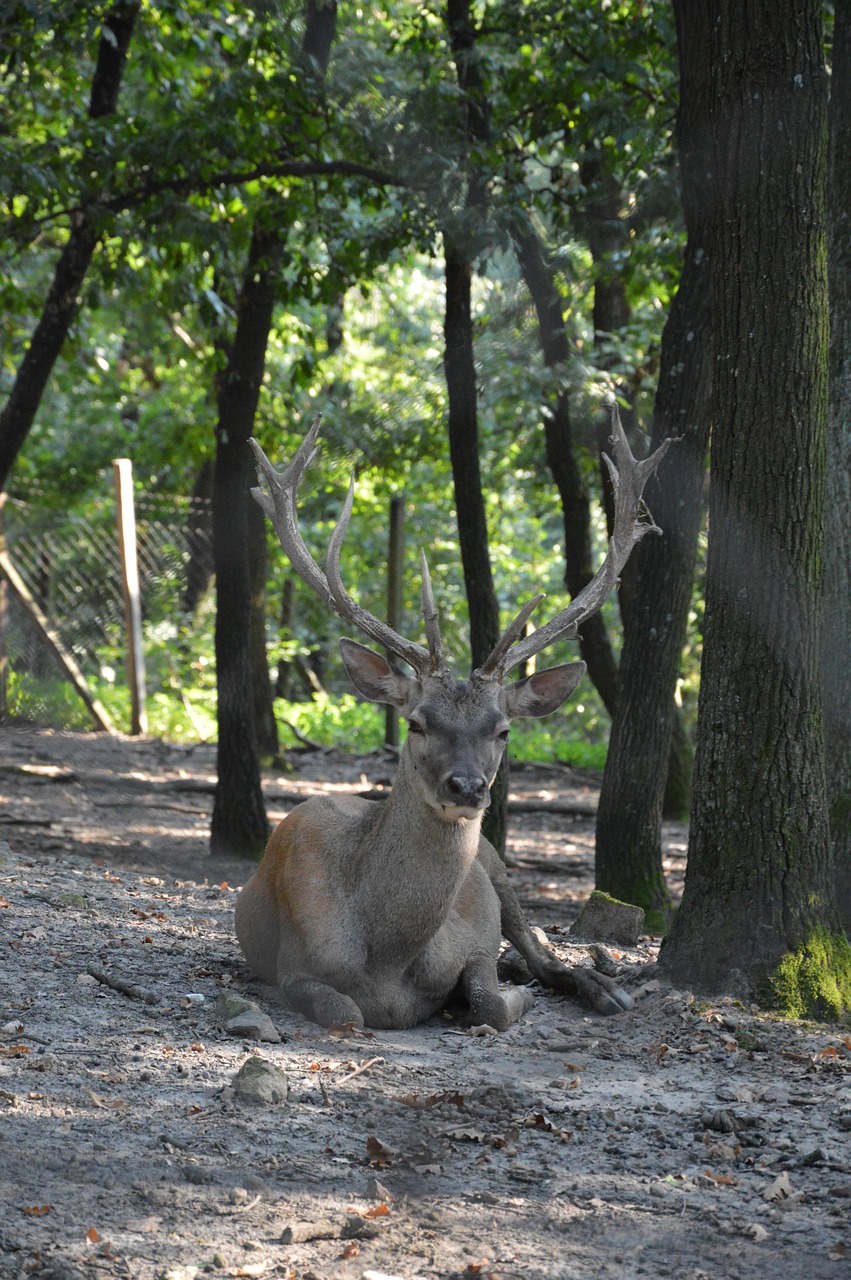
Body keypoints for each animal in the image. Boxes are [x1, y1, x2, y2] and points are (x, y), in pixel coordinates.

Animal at [234, 409, 670, 1029]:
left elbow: (490, 997)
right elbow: (347, 1014)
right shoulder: (294, 963)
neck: (387, 959)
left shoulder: (474, 940)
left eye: (504, 730)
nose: (466, 787)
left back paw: (605, 989)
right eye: (416, 723)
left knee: (540, 951)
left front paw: (511, 997)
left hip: (498, 867)